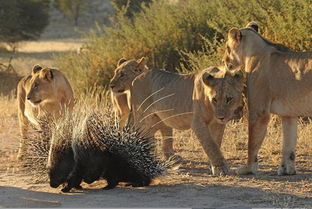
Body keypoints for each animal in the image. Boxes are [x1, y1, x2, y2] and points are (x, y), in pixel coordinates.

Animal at [109, 56, 244, 175]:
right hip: (141, 116)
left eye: (229, 99)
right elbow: (210, 144)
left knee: (146, 136)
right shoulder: (197, 122)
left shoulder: (217, 124)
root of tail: (136, 80)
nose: (111, 85)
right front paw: (220, 168)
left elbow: (215, 144)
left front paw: (214, 165)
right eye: (214, 99)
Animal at [223, 22, 312, 175]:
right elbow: (288, 143)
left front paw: (248, 168)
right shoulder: (288, 114)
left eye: (228, 48)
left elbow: (252, 141)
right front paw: (286, 170)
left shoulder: (259, 111)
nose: (224, 61)